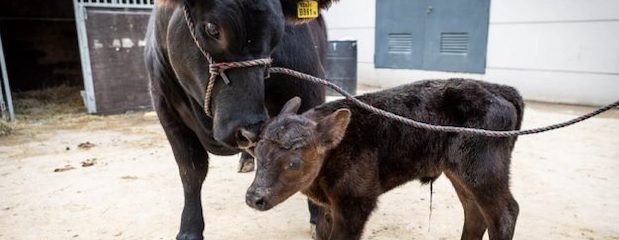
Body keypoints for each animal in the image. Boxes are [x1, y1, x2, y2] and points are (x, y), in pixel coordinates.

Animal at [145, 0, 336, 239]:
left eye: (277, 35)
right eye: (212, 28)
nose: (251, 128)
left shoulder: (310, 90)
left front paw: (319, 220)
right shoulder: (167, 111)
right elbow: (190, 172)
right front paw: (189, 229)